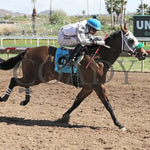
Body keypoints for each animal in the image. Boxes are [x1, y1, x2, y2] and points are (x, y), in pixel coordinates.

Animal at [0, 25, 147, 131]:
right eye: (131, 40)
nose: (144, 54)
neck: (99, 58)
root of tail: (28, 51)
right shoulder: (97, 86)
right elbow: (108, 105)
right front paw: (119, 124)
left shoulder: (88, 88)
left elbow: (77, 102)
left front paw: (64, 117)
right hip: (35, 77)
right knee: (14, 80)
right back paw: (4, 98)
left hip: (38, 77)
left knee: (23, 83)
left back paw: (25, 100)